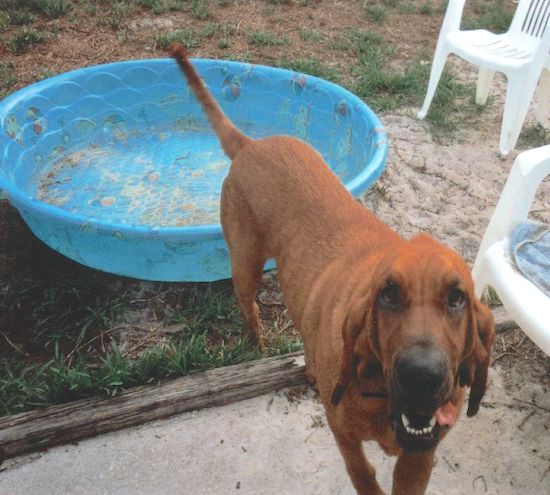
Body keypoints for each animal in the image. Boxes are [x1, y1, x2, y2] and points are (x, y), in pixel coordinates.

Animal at [171, 43, 496, 495]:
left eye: (457, 298)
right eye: (388, 294)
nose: (422, 376)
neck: (381, 396)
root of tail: (250, 144)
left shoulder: (419, 457)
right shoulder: (344, 435)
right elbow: (363, 473)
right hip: (245, 265)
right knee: (249, 310)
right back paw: (259, 346)